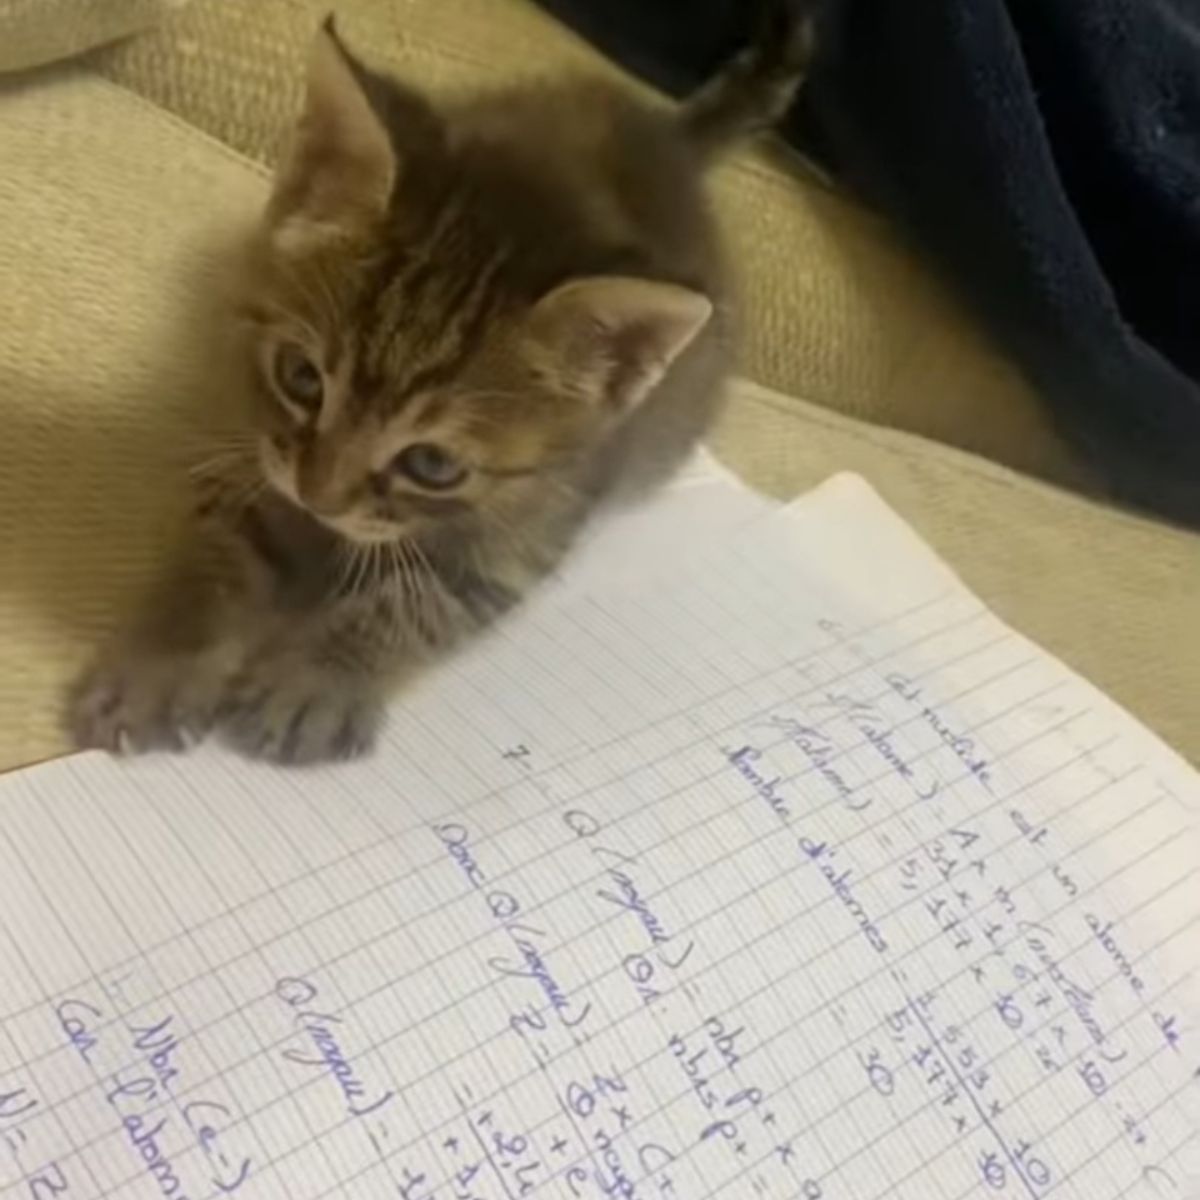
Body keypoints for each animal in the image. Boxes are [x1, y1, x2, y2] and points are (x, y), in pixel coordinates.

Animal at [65, 0, 816, 763]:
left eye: (430, 463)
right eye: (301, 378)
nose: (317, 496)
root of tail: (664, 136)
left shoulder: (535, 529)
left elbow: (425, 601)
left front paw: (316, 679)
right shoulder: (255, 451)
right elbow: (225, 550)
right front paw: (165, 660)